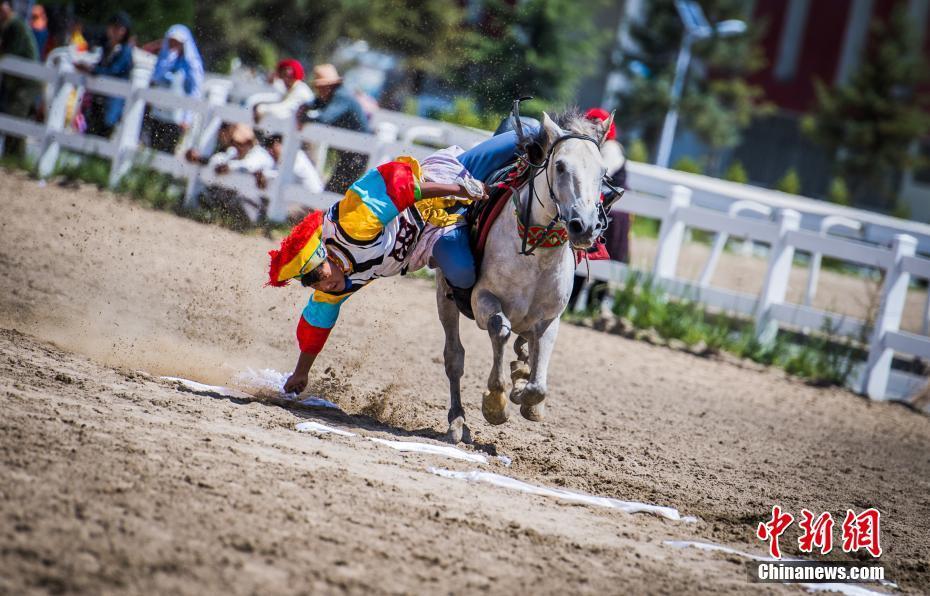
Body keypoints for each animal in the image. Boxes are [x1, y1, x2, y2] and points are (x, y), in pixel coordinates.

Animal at [436, 110, 612, 442]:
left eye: (602, 171)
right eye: (560, 165)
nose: (585, 226)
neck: (537, 255)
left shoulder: (549, 319)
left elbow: (538, 384)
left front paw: (525, 395)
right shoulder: (483, 300)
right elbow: (499, 330)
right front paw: (496, 402)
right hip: (446, 296)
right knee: (454, 358)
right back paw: (457, 421)